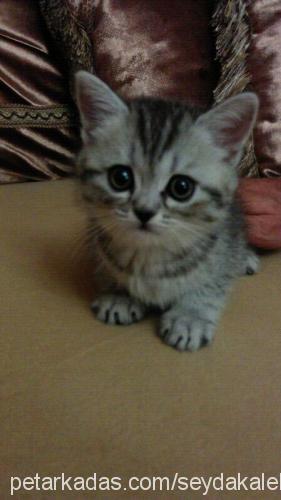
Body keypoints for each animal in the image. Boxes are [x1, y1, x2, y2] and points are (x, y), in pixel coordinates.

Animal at [73, 71, 258, 352]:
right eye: (120, 178)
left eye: (181, 187)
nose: (144, 212)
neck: (149, 255)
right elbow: (107, 269)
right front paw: (118, 293)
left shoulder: (222, 245)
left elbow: (213, 281)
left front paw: (191, 315)